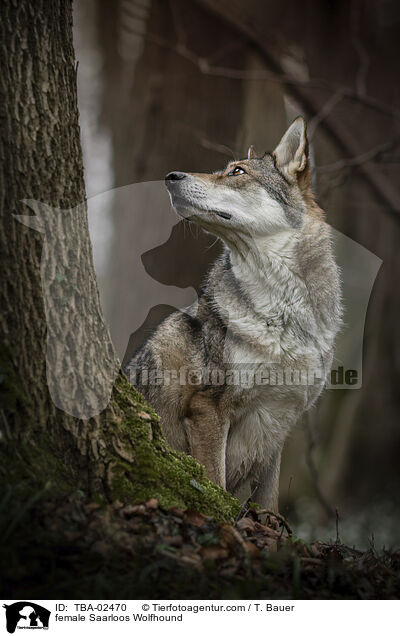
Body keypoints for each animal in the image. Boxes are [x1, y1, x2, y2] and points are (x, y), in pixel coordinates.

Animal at [126, 115, 342, 512]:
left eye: (236, 171)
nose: (170, 176)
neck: (283, 312)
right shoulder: (207, 410)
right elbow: (214, 481)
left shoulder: (278, 427)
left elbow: (270, 504)